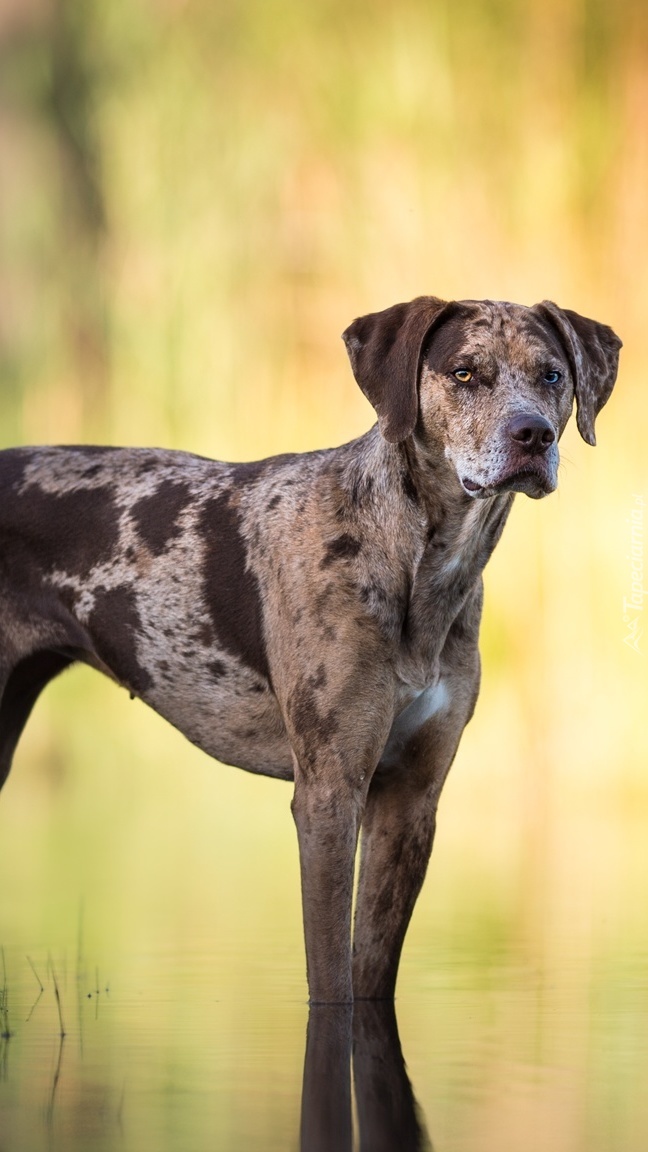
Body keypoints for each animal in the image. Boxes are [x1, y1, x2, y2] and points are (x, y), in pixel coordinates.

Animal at [0, 294, 618, 999]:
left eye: (552, 375)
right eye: (465, 372)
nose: (534, 435)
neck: (418, 562)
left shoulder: (411, 801)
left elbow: (370, 973)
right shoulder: (329, 794)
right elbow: (330, 981)